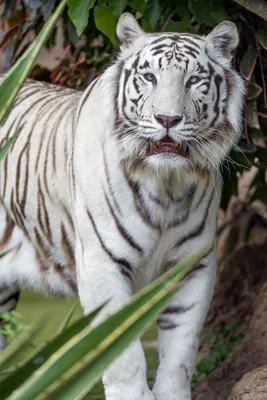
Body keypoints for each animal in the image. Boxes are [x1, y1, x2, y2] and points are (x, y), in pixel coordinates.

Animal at [0, 12, 245, 400]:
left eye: (193, 80)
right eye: (150, 77)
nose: (167, 119)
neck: (166, 186)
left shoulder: (193, 264)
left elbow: (181, 352)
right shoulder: (102, 266)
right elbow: (123, 357)